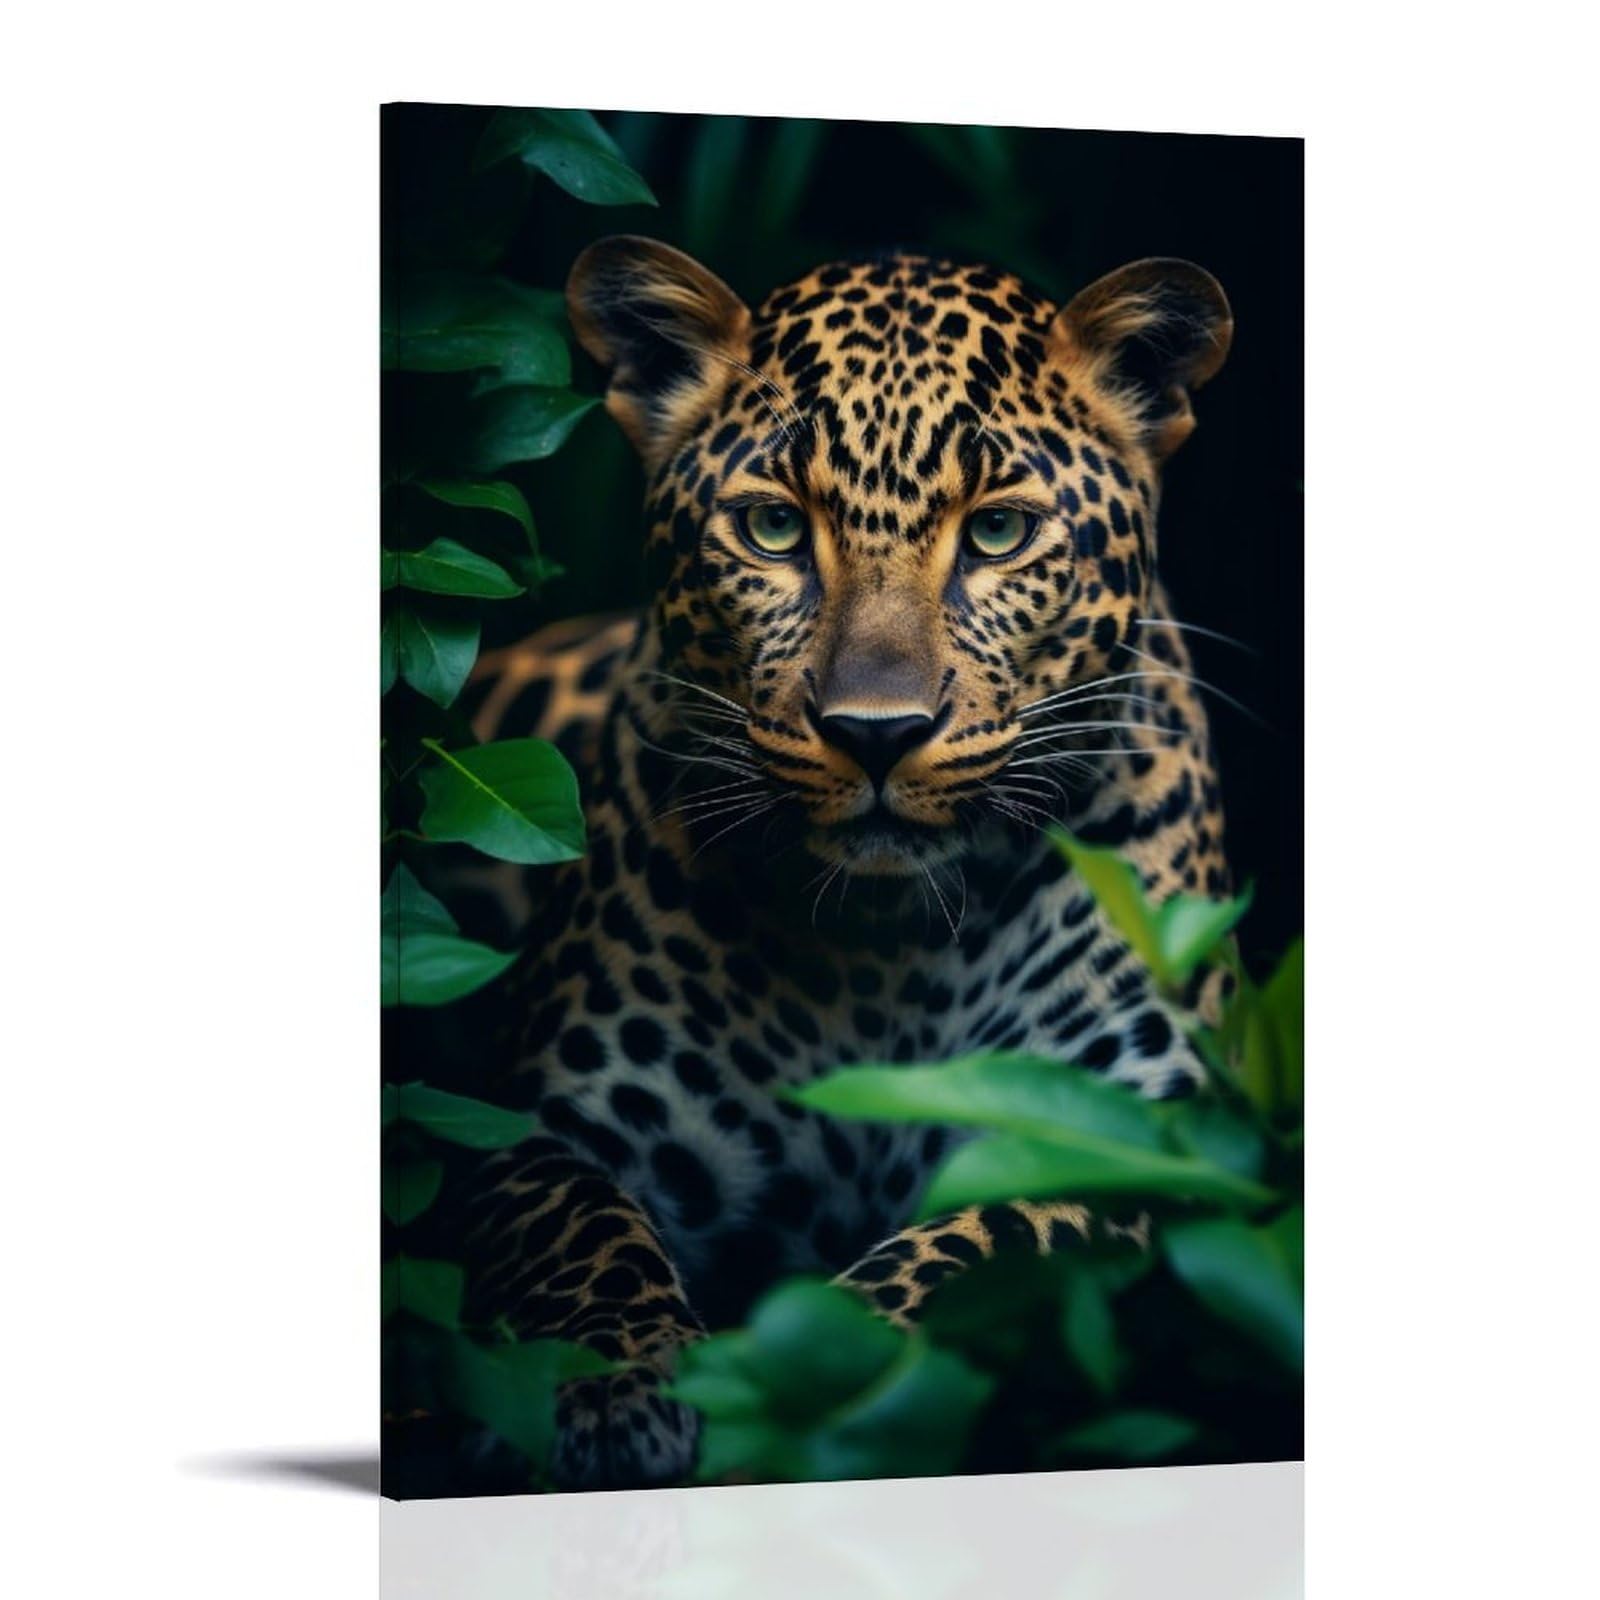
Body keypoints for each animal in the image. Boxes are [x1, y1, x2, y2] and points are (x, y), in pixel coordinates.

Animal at [455, 236, 1237, 1491]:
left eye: (998, 532)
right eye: (773, 529)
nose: (877, 732)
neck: (885, 948)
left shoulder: (1125, 1144)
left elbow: (966, 1251)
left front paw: (790, 1374)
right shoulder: (529, 1122)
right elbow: (577, 1233)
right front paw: (608, 1390)